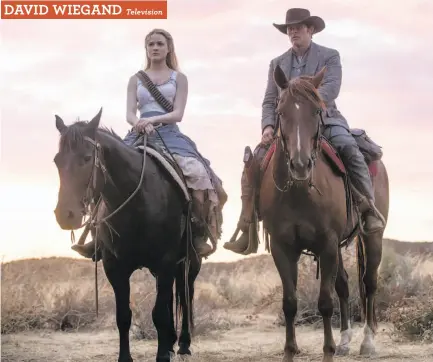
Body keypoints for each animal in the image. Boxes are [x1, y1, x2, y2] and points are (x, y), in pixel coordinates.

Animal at [53, 109, 202, 360]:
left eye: (87, 158)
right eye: (57, 160)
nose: (65, 215)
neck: (138, 203)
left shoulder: (166, 261)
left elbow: (159, 313)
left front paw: (163, 355)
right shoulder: (115, 267)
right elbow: (123, 316)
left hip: (189, 261)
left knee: (185, 291)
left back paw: (182, 343)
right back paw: (171, 342)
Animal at [258, 66, 390, 362]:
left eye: (316, 111)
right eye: (281, 111)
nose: (300, 165)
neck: (299, 193)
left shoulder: (327, 244)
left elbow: (325, 302)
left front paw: (327, 351)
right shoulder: (283, 248)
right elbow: (290, 303)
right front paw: (290, 351)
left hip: (371, 237)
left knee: (369, 283)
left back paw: (367, 342)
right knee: (344, 284)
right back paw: (344, 340)